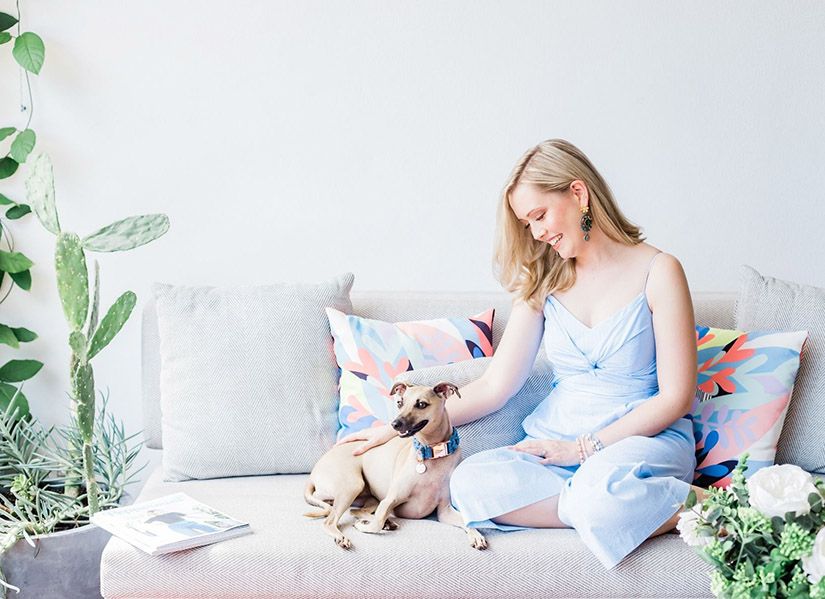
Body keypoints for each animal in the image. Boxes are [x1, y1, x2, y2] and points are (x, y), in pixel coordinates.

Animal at [302, 382, 486, 552]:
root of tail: (314, 472)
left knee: (355, 511)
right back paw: (344, 536)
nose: (394, 424)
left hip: (370, 497)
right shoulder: (389, 501)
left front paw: (476, 535)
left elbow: (466, 520)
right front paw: (365, 526)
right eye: (399, 402)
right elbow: (377, 522)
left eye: (421, 404)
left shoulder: (444, 511)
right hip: (352, 486)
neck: (431, 452)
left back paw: (385, 522)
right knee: (329, 519)